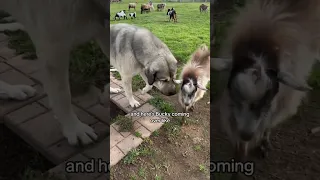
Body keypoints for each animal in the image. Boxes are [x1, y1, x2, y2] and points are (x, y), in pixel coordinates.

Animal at [211, 0, 320, 162]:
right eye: (235, 93)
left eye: (267, 100)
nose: (246, 135)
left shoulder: (285, 97)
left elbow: (269, 120)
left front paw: (263, 143)